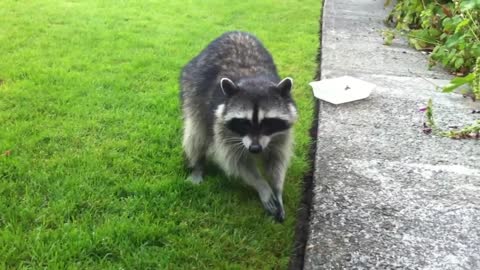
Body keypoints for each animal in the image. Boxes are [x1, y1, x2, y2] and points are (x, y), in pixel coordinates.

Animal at [180, 31, 296, 221]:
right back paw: (198, 164)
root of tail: (234, 32)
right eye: (244, 123)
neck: (253, 79)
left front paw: (277, 187)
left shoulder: (281, 132)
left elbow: (277, 158)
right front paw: (262, 185)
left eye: (268, 122)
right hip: (192, 88)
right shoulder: (221, 125)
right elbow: (237, 161)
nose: (255, 149)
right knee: (197, 133)